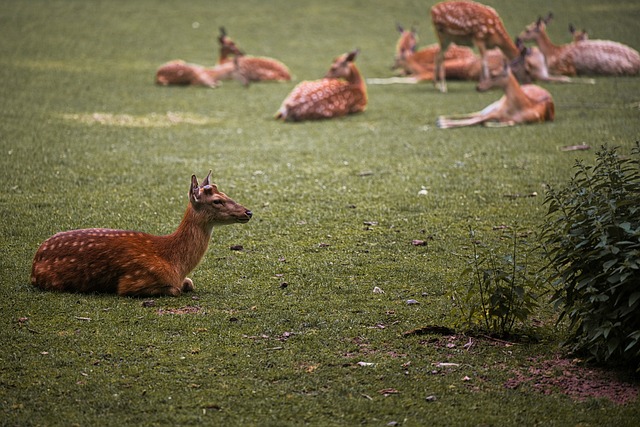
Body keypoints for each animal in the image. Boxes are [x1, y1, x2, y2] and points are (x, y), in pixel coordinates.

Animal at [31, 171, 252, 298]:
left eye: (225, 194)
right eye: (217, 201)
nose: (248, 212)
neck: (175, 262)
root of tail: (34, 263)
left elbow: (189, 283)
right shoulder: (133, 281)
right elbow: (176, 290)